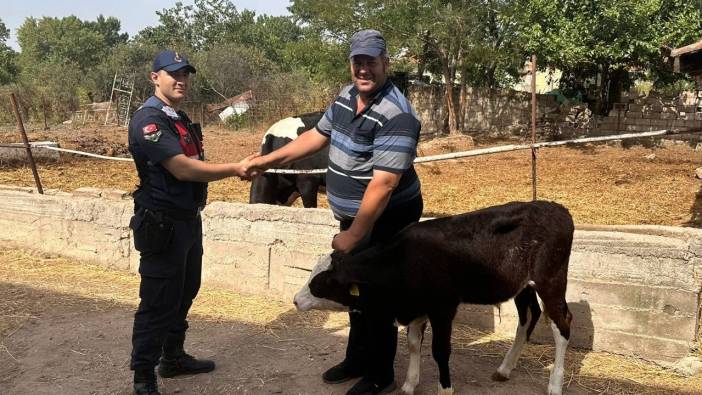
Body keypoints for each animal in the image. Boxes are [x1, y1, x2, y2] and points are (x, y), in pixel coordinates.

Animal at [296, 201, 576, 395]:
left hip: (550, 280)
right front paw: (410, 384)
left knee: (562, 325)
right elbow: (412, 344)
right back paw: (505, 369)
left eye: (323, 282)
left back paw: (554, 385)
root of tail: (557, 208)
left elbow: (440, 350)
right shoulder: (416, 307)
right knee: (529, 316)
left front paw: (445, 388)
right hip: (522, 286)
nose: (296, 300)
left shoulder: (443, 307)